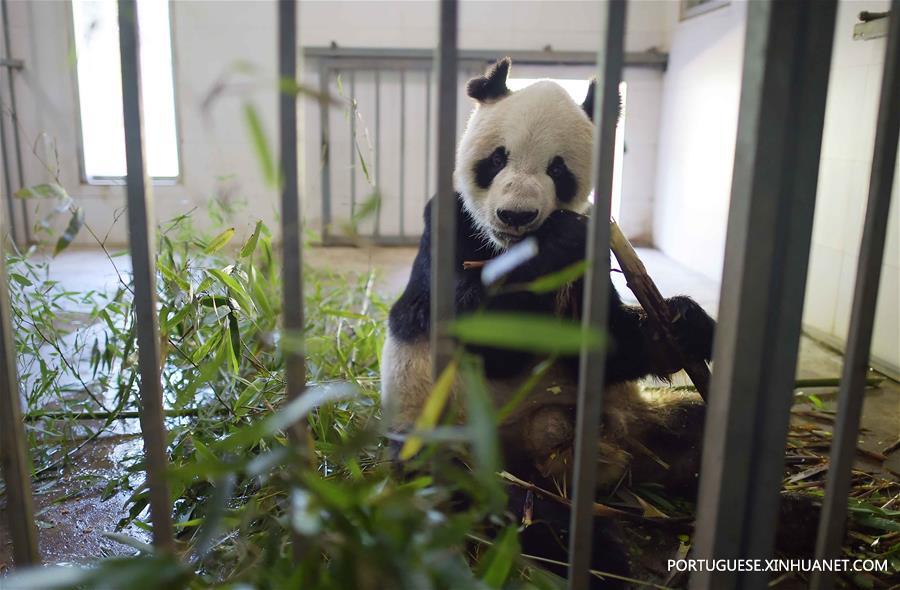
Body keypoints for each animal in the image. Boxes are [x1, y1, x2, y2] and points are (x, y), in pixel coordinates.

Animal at [381, 57, 715, 495]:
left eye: (558, 169)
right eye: (496, 160)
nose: (516, 215)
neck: (507, 247)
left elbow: (613, 345)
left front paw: (682, 324)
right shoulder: (447, 225)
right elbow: (477, 328)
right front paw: (555, 242)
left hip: (633, 415)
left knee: (691, 424)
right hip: (440, 419)